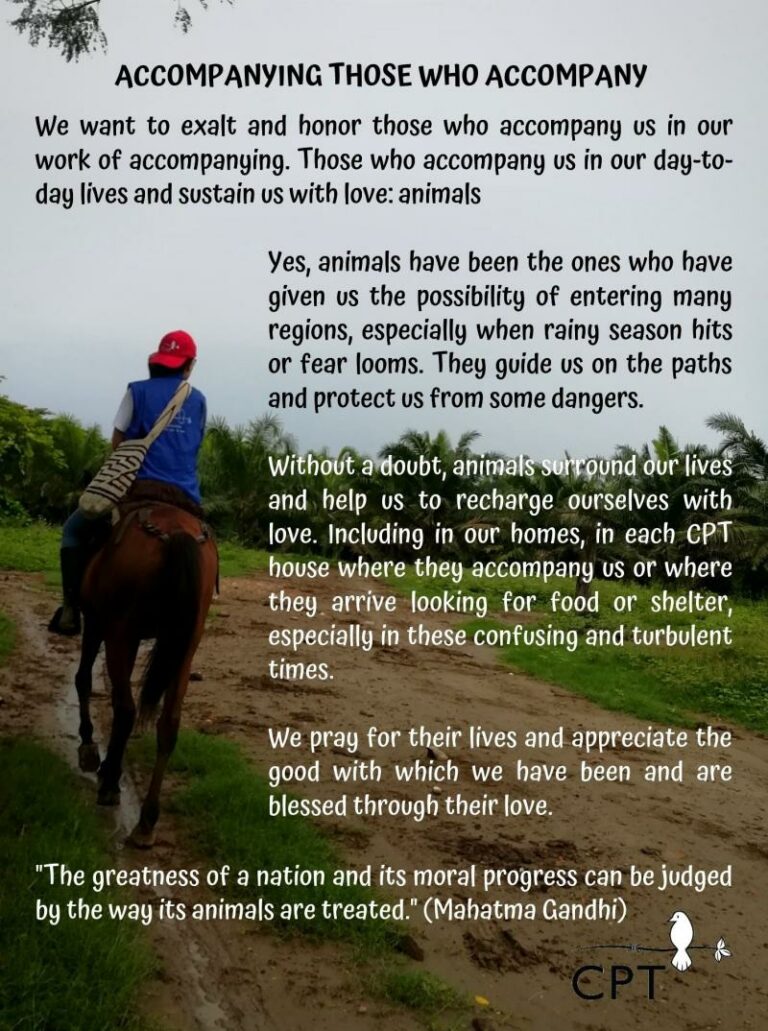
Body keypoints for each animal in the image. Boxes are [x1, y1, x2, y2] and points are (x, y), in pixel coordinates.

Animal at [73, 496, 217, 845]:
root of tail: (177, 533)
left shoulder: (99, 624)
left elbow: (84, 679)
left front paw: (89, 744)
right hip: (183, 647)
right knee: (169, 724)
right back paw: (146, 820)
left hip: (118, 632)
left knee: (125, 709)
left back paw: (110, 783)